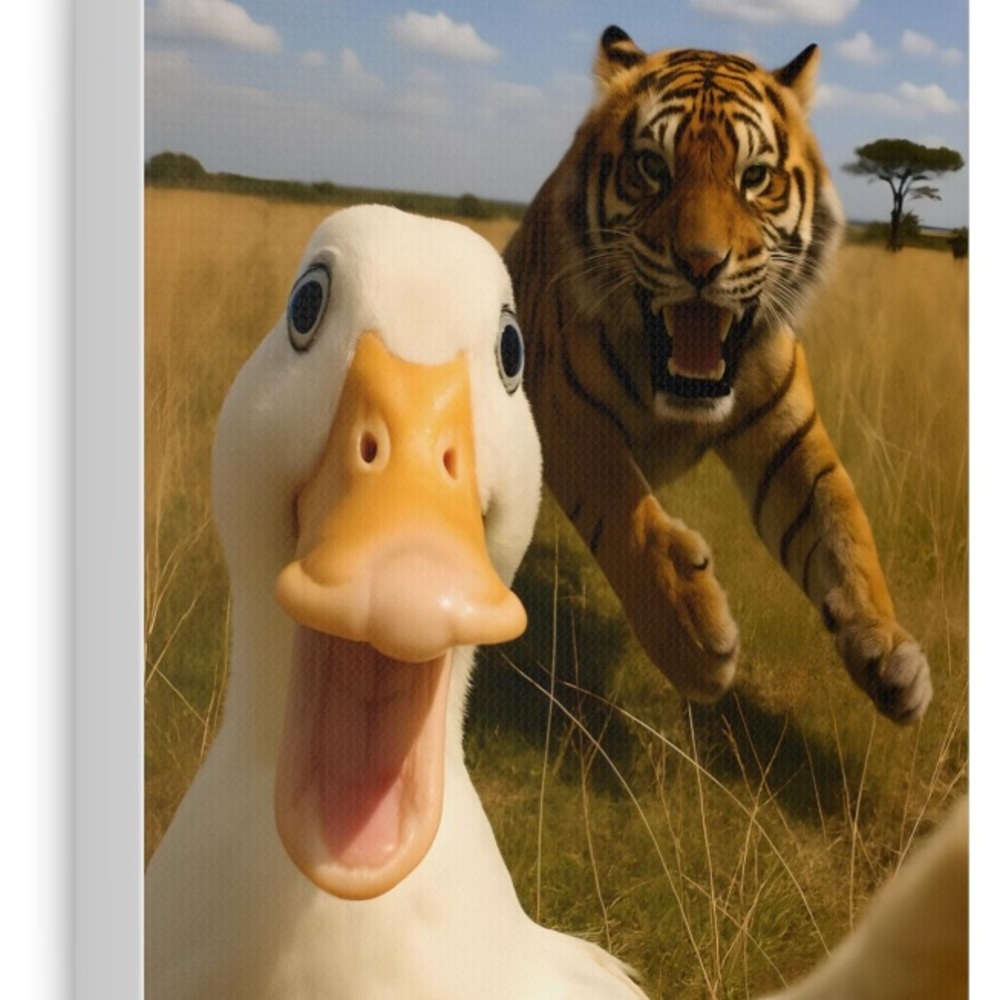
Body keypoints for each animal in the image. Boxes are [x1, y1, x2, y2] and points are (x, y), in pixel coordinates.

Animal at [503, 26, 932, 724]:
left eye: (754, 177)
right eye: (653, 167)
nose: (702, 263)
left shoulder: (789, 439)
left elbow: (843, 528)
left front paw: (888, 652)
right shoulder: (566, 410)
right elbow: (624, 511)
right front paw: (695, 640)